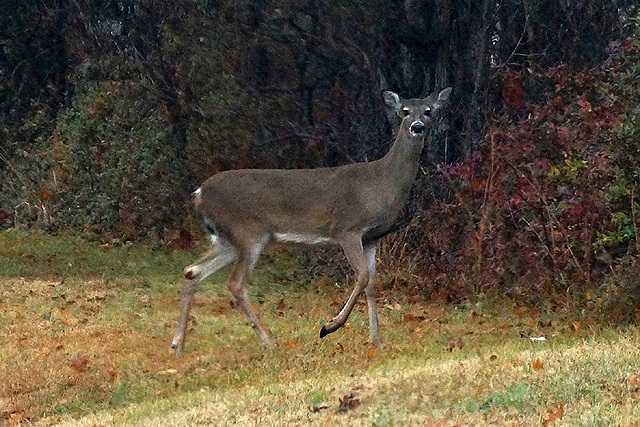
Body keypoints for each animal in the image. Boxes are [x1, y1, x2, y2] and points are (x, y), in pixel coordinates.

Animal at [170, 87, 450, 358]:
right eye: (404, 111)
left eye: (428, 111)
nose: (417, 126)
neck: (382, 183)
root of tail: (199, 194)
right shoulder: (346, 228)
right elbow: (361, 276)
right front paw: (330, 326)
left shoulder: (373, 237)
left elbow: (371, 283)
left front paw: (376, 339)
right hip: (247, 233)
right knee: (235, 284)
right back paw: (269, 342)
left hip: (227, 240)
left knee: (192, 271)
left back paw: (178, 346)